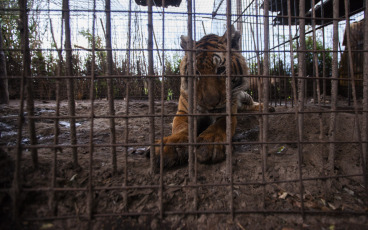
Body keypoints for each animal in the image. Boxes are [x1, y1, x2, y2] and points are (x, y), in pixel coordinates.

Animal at [147, 25, 270, 169]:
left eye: (221, 69)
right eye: (196, 73)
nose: (211, 103)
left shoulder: (228, 111)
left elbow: (221, 125)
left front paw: (210, 142)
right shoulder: (184, 112)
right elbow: (181, 128)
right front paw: (170, 146)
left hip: (244, 97)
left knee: (251, 105)